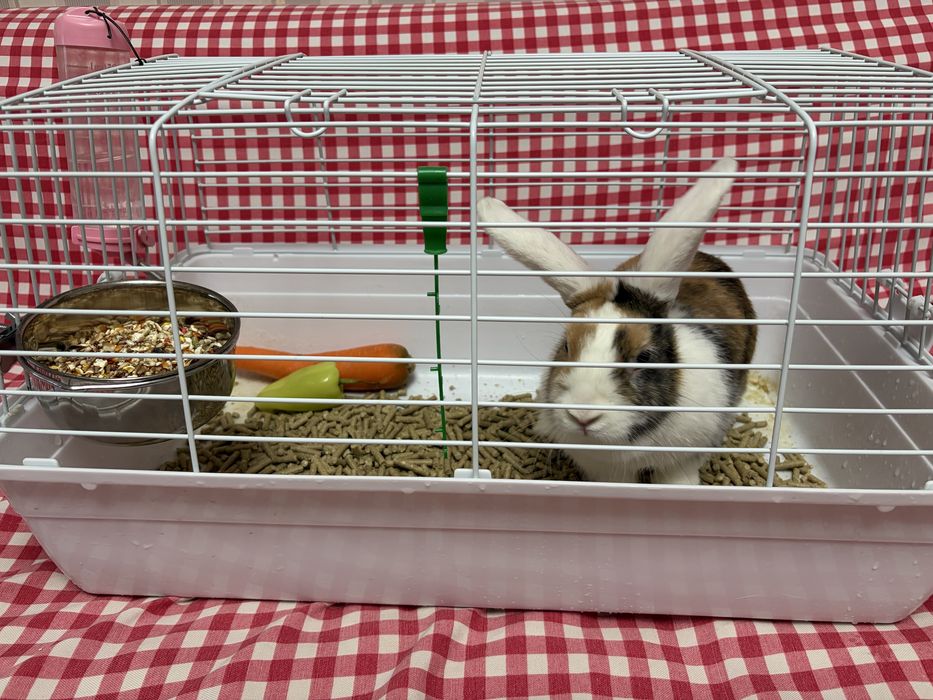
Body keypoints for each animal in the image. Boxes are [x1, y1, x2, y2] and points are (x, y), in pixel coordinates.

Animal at [477, 157, 757, 485]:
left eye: (645, 357)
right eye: (566, 346)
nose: (583, 416)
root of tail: (708, 256)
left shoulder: (684, 457)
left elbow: (677, 478)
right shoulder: (604, 469)